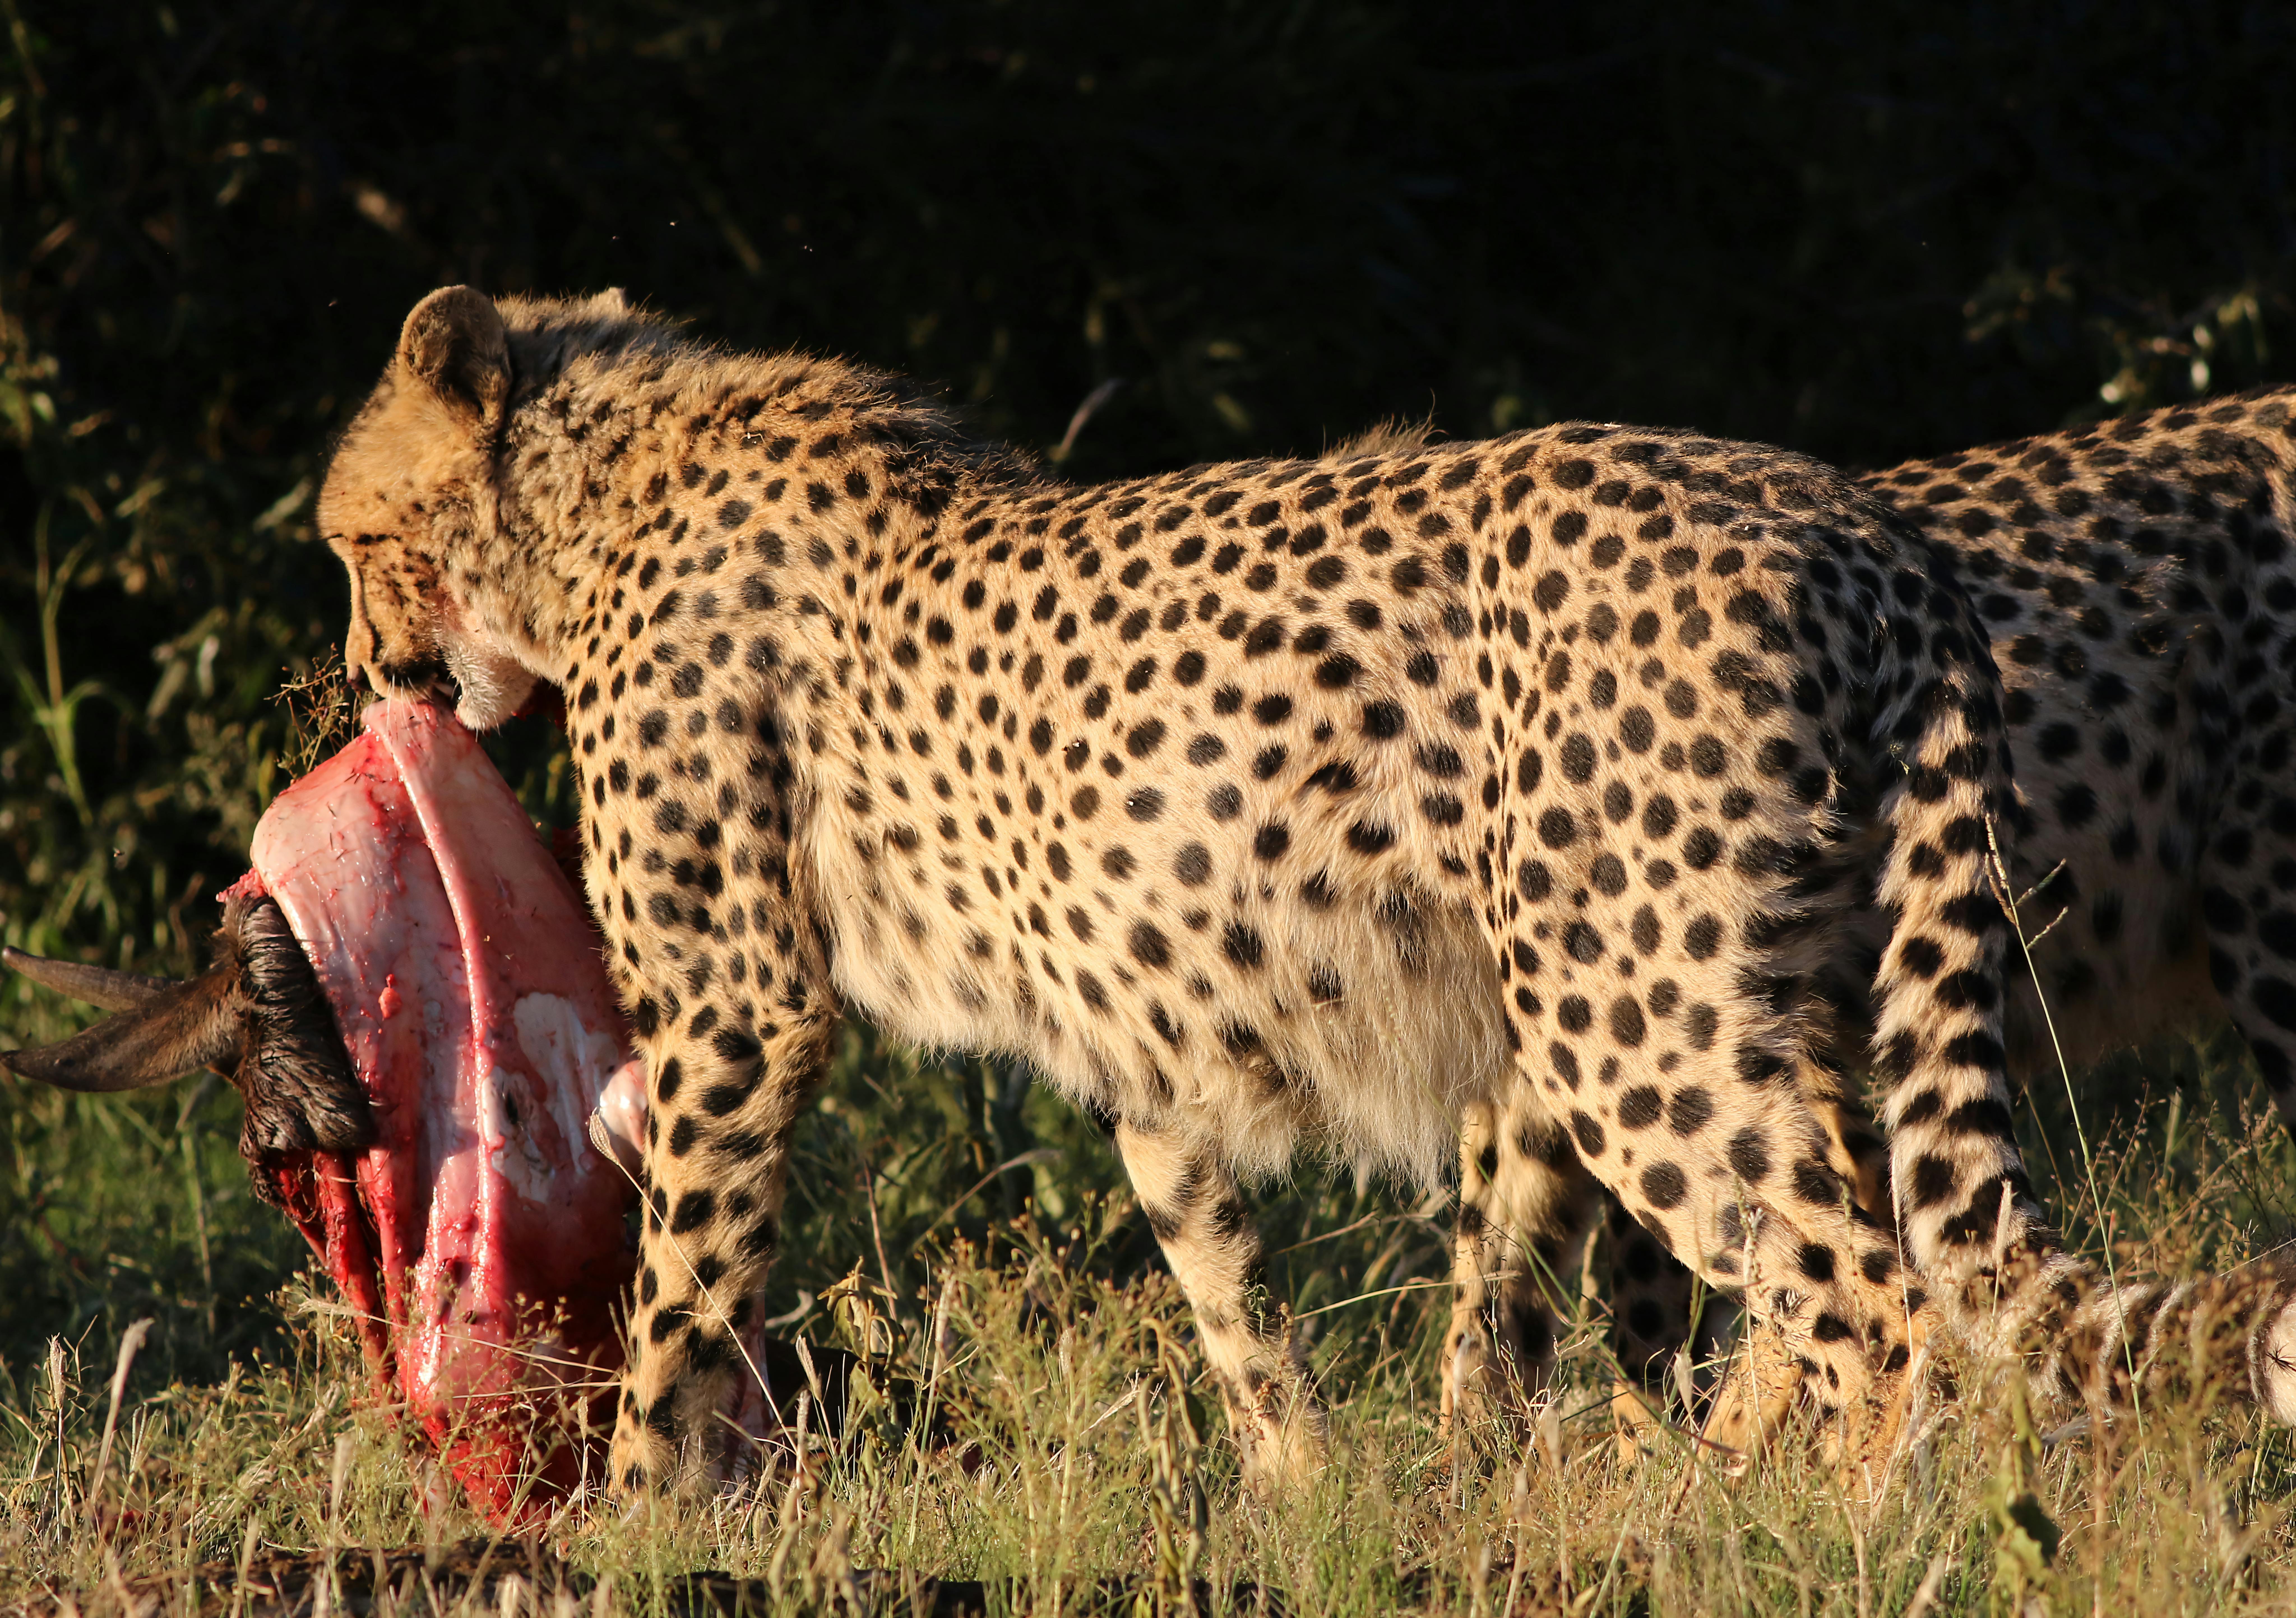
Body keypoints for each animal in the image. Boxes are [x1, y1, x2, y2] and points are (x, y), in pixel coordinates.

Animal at [321, 282, 2090, 1500]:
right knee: (1923, 1278)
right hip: (1753, 988)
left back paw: (1841, 1528)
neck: (602, 494)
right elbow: (1228, 1292)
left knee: (1873, 1300)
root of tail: (1852, 515)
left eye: (349, 540)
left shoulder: (735, 1007)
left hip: (1637, 1014)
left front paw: (628, 1517)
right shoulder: (1137, 1036)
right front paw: (1310, 1499)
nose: (360, 672)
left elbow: (681, 1290)